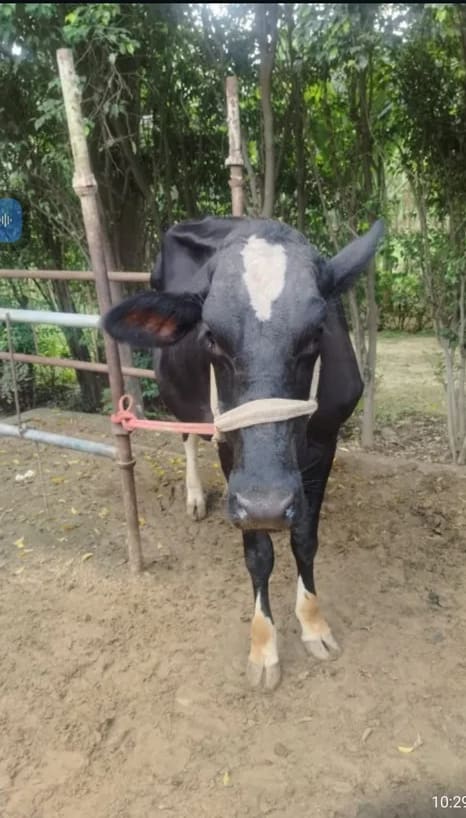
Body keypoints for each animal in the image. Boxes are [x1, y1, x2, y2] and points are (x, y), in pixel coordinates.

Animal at [103, 216, 383, 690]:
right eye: (211, 337)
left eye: (317, 333)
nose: (267, 504)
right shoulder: (231, 452)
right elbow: (259, 555)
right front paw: (264, 647)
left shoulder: (326, 439)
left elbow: (305, 539)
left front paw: (314, 625)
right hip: (182, 399)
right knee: (187, 437)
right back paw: (195, 497)